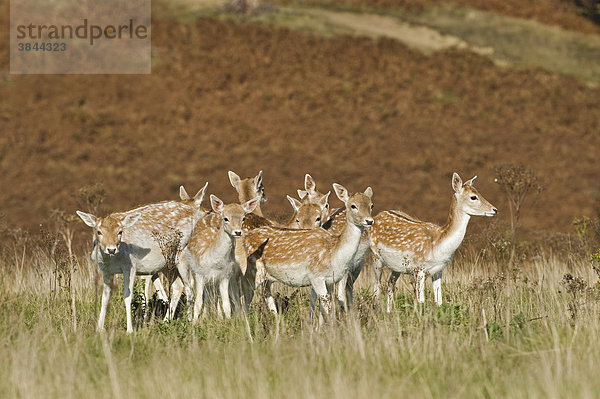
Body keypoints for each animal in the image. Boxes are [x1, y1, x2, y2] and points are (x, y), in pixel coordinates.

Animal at [76, 185, 207, 334]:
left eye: (120, 232)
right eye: (99, 232)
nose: (111, 249)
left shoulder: (130, 266)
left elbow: (128, 297)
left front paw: (130, 330)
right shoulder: (106, 270)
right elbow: (104, 298)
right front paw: (99, 328)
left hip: (183, 256)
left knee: (190, 287)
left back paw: (191, 321)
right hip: (166, 264)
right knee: (178, 286)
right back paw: (166, 321)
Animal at [370, 172, 496, 310]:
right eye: (473, 197)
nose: (494, 209)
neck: (438, 244)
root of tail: (377, 216)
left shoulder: (438, 270)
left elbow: (439, 301)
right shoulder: (419, 268)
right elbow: (421, 301)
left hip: (397, 267)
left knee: (390, 283)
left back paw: (388, 311)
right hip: (376, 257)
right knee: (376, 286)